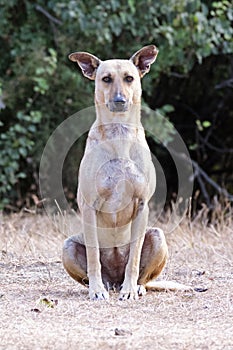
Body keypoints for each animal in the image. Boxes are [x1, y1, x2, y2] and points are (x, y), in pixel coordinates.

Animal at [62, 45, 177, 300]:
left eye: (129, 78)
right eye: (106, 79)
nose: (119, 100)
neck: (119, 131)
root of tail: (114, 280)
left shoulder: (142, 204)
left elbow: (133, 257)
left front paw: (130, 290)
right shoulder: (88, 206)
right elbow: (93, 257)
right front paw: (96, 290)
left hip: (158, 236)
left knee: (143, 274)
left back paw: (135, 287)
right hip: (68, 246)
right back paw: (104, 286)